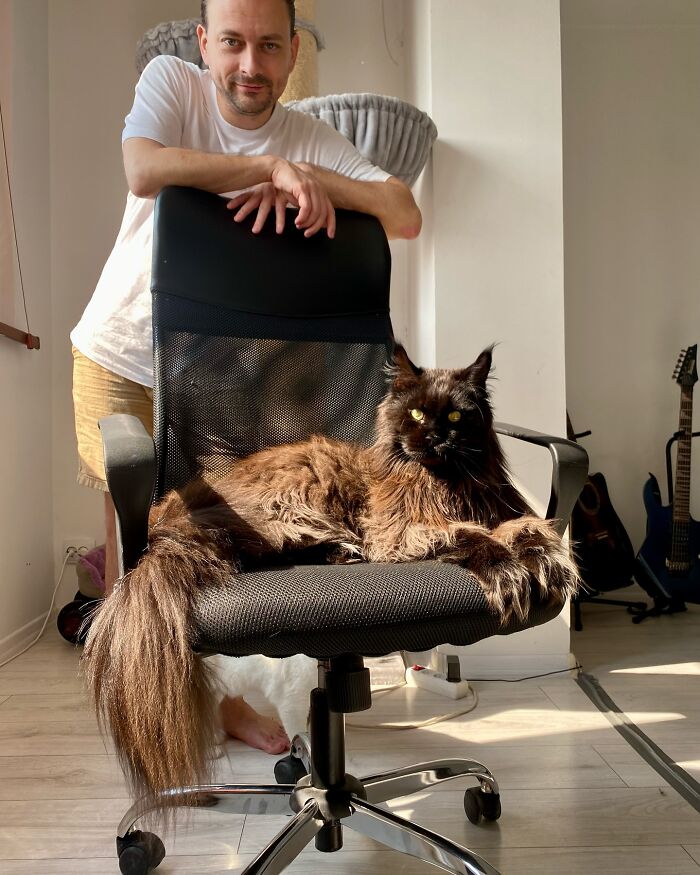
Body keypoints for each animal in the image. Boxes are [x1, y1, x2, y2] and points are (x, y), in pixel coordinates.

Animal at [83, 346, 580, 812]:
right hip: (297, 497)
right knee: (253, 554)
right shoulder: (398, 532)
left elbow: (531, 530)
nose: (436, 437)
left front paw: (546, 563)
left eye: (456, 416)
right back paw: (340, 552)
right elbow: (470, 537)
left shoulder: (500, 510)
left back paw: (341, 552)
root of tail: (167, 517)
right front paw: (508, 570)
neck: (443, 482)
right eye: (417, 414)